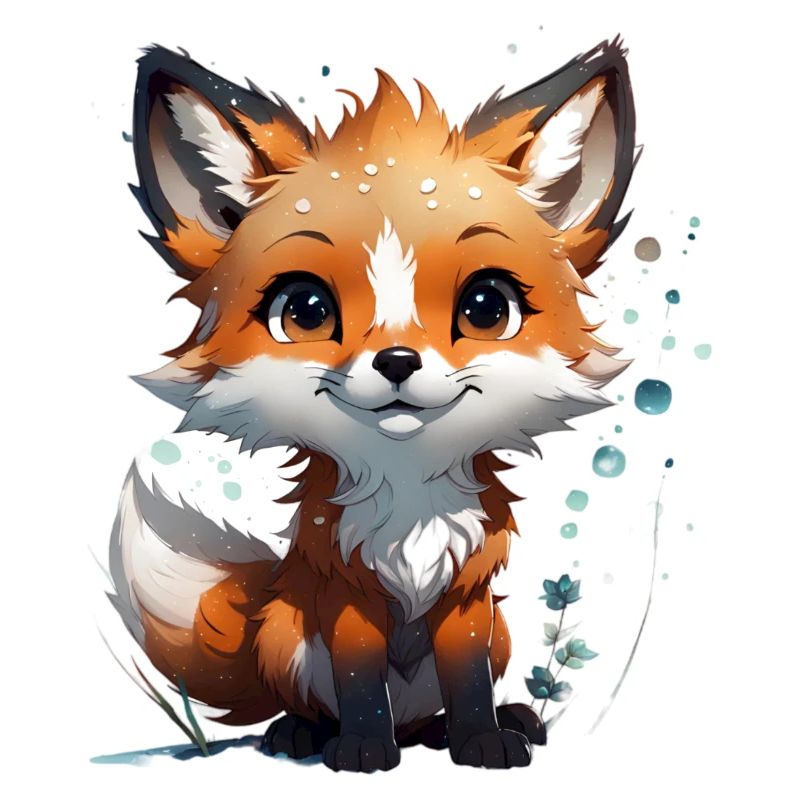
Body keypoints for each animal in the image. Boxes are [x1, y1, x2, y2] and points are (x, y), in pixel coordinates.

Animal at [108, 38, 637, 772]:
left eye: (486, 306)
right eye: (304, 309)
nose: (397, 361)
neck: (409, 502)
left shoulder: (467, 595)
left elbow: (468, 679)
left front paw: (480, 740)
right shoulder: (346, 591)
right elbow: (358, 679)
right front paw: (361, 748)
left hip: (500, 630)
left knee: (432, 710)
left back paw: (479, 723)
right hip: (286, 634)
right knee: (318, 701)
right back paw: (302, 734)